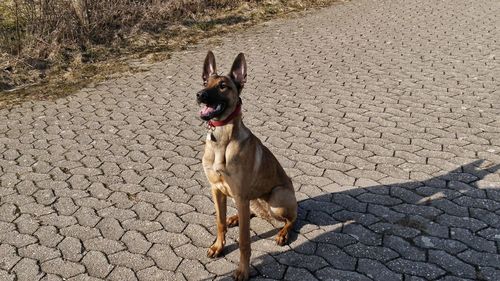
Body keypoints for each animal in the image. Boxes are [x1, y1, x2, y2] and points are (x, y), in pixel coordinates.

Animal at [195, 51, 296, 278]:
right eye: (205, 82)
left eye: (223, 86)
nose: (199, 94)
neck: (221, 140)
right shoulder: (217, 190)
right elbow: (219, 222)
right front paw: (218, 246)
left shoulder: (239, 194)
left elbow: (244, 241)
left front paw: (243, 270)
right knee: (250, 212)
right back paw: (235, 218)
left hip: (277, 197)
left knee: (292, 219)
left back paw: (282, 234)